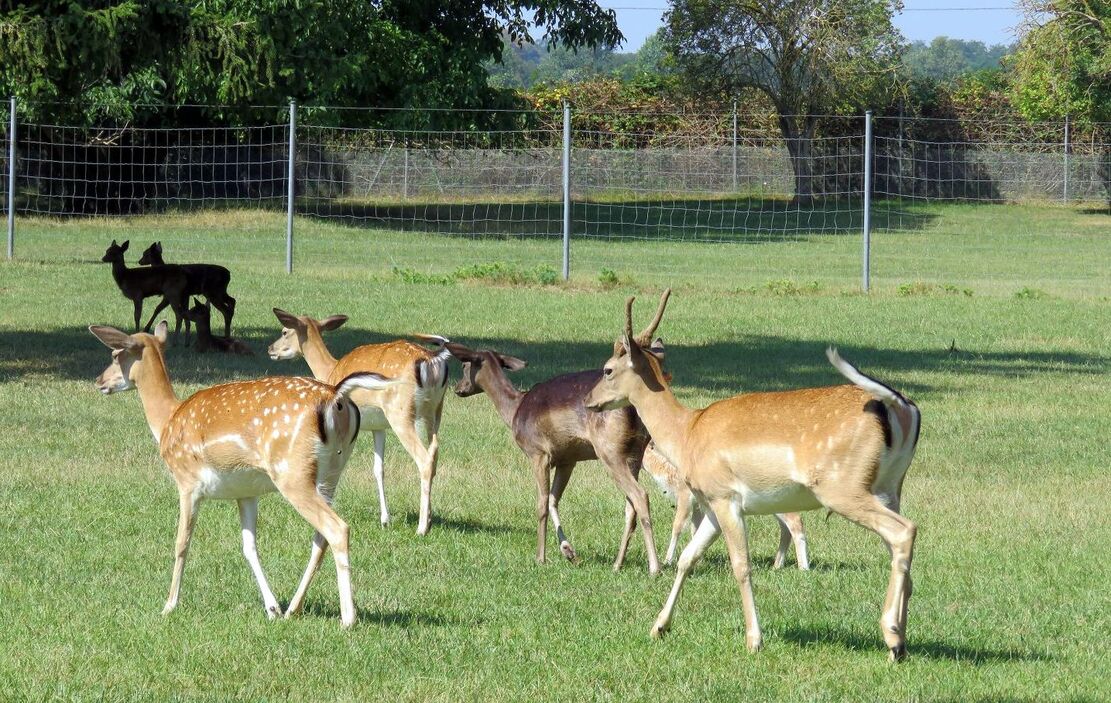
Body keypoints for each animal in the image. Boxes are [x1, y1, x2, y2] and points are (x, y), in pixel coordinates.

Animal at [89, 317, 399, 626]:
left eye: (115, 355)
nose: (99, 381)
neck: (167, 421)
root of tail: (337, 398)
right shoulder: (246, 492)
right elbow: (249, 546)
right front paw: (272, 608)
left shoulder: (187, 482)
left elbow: (181, 542)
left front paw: (169, 605)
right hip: (331, 473)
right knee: (320, 536)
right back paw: (293, 608)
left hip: (292, 472)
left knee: (337, 528)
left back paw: (348, 618)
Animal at [266, 308, 448, 535]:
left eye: (284, 331)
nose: (270, 349)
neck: (331, 370)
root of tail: (431, 361)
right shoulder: (378, 426)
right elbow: (378, 469)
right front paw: (385, 520)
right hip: (435, 410)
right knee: (434, 452)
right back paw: (429, 519)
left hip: (400, 412)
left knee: (423, 459)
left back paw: (422, 527)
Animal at [639, 442, 813, 568]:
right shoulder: (698, 504)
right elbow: (695, 529)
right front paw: (699, 560)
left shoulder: (684, 495)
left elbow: (677, 526)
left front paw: (668, 560)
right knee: (786, 526)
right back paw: (777, 565)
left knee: (796, 520)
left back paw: (803, 568)